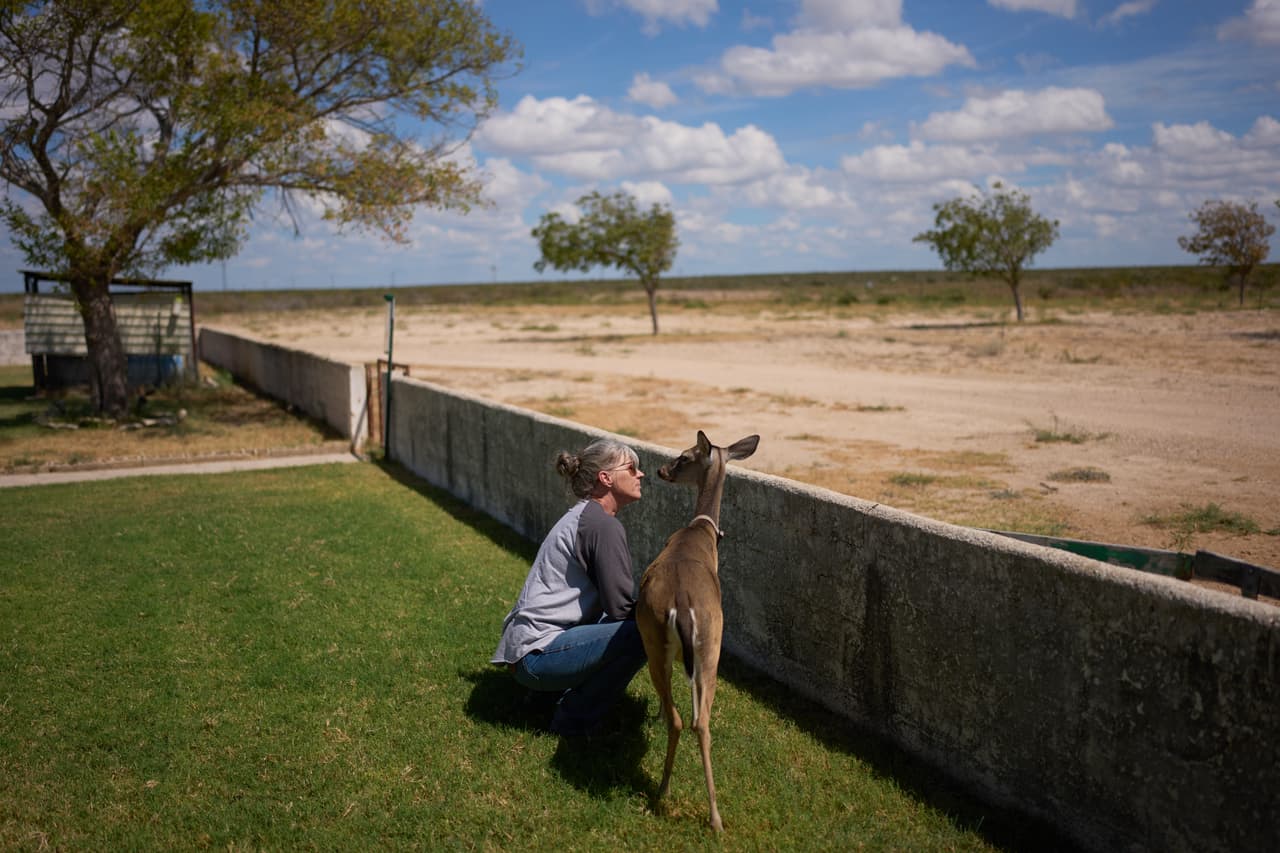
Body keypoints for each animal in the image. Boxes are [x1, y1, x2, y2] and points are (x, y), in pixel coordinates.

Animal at [635, 430, 760, 833]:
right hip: (710, 645)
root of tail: (683, 605)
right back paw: (715, 817)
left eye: (684, 456)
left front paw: (657, 714)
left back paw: (663, 791)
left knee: (681, 718)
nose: (661, 470)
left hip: (656, 638)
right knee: (699, 721)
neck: (701, 530)